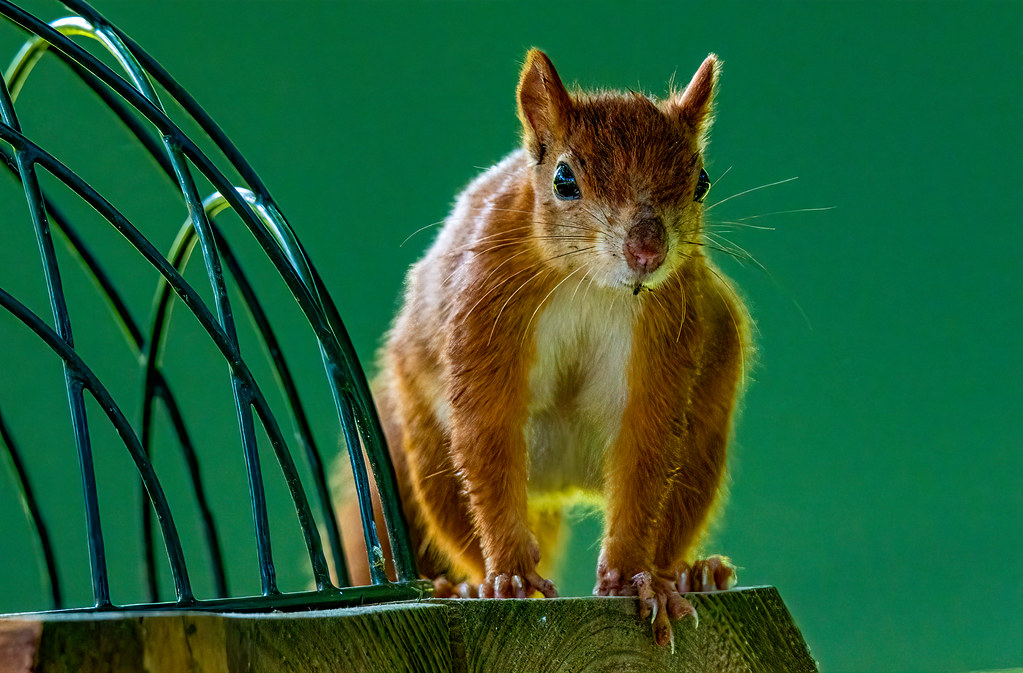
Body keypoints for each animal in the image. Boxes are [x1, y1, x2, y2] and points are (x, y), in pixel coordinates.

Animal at [338, 49, 752, 647]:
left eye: (701, 181)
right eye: (563, 179)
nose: (647, 250)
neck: (590, 284)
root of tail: (560, 486)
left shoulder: (670, 332)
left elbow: (645, 450)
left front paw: (633, 578)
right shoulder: (485, 308)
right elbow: (487, 432)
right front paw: (510, 574)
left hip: (702, 448)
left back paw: (691, 573)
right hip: (429, 458)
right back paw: (465, 584)